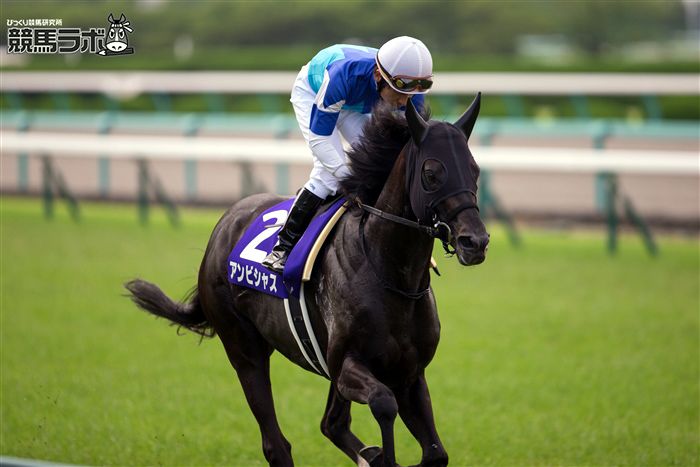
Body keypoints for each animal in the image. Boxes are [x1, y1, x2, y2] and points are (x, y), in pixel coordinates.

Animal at [125, 95, 489, 467]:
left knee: (331, 424)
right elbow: (383, 403)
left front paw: (377, 454)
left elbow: (435, 453)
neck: (390, 274)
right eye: (431, 173)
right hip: (244, 349)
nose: (474, 242)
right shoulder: (347, 366)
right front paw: (382, 455)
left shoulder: (409, 373)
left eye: (474, 170)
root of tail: (222, 228)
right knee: (276, 443)